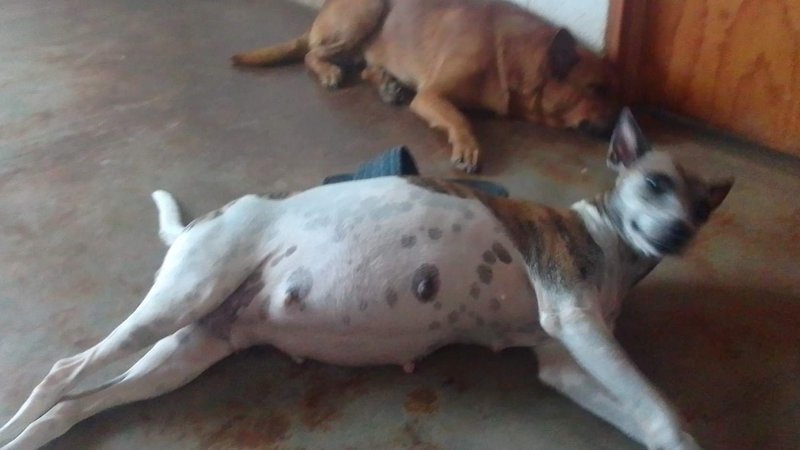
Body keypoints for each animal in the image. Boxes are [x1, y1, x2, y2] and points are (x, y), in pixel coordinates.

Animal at [0, 110, 732, 449]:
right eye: (655, 184)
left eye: (701, 209)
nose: (678, 235)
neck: (611, 243)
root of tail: (198, 224)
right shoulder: (574, 318)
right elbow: (663, 409)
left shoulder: (565, 362)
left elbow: (648, 420)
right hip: (178, 302)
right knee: (61, 374)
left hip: (180, 354)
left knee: (76, 403)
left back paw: (35, 434)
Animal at [232, 0, 621, 173]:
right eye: (595, 89)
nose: (621, 120)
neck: (513, 56)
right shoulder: (431, 96)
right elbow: (460, 118)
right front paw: (468, 145)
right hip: (366, 13)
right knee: (313, 54)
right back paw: (329, 71)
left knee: (366, 69)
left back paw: (388, 85)